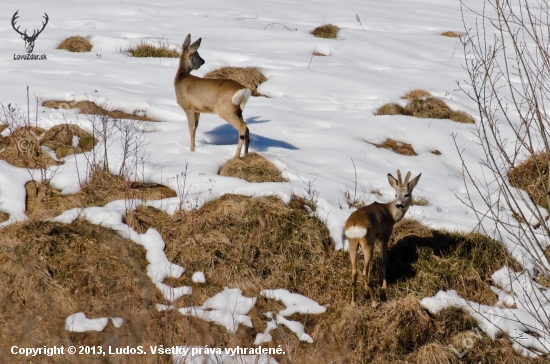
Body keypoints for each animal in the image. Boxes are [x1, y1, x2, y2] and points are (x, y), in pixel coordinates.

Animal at [344, 169, 422, 306]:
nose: (399, 205)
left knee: (354, 271)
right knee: (363, 272)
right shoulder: (385, 236)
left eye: (406, 194)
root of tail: (354, 225)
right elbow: (383, 260)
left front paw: (366, 288)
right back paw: (375, 302)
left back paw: (354, 302)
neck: (391, 215)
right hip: (366, 241)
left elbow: (371, 265)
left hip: (353, 243)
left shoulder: (375, 240)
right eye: (396, 194)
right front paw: (384, 285)